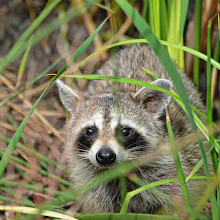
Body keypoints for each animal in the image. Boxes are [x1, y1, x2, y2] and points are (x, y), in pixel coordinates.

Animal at [56, 44, 208, 215]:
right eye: (90, 131)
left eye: (125, 131)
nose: (105, 156)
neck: (118, 170)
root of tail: (139, 47)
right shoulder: (93, 185)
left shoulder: (171, 169)